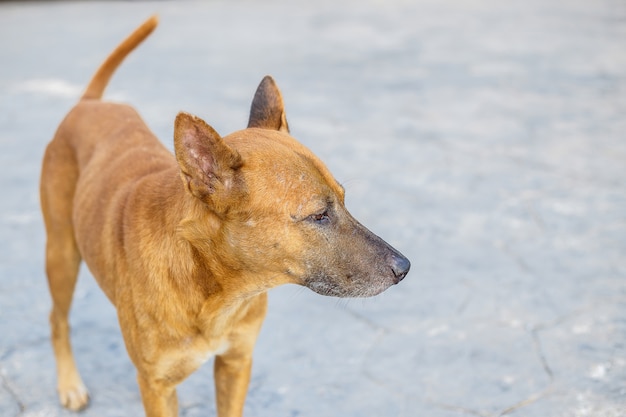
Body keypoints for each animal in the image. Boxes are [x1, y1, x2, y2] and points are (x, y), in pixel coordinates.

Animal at [39, 16, 410, 416]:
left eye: (343, 201)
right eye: (319, 215)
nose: (404, 268)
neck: (216, 290)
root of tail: (90, 104)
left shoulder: (236, 362)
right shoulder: (157, 387)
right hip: (61, 255)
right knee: (57, 319)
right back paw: (69, 384)